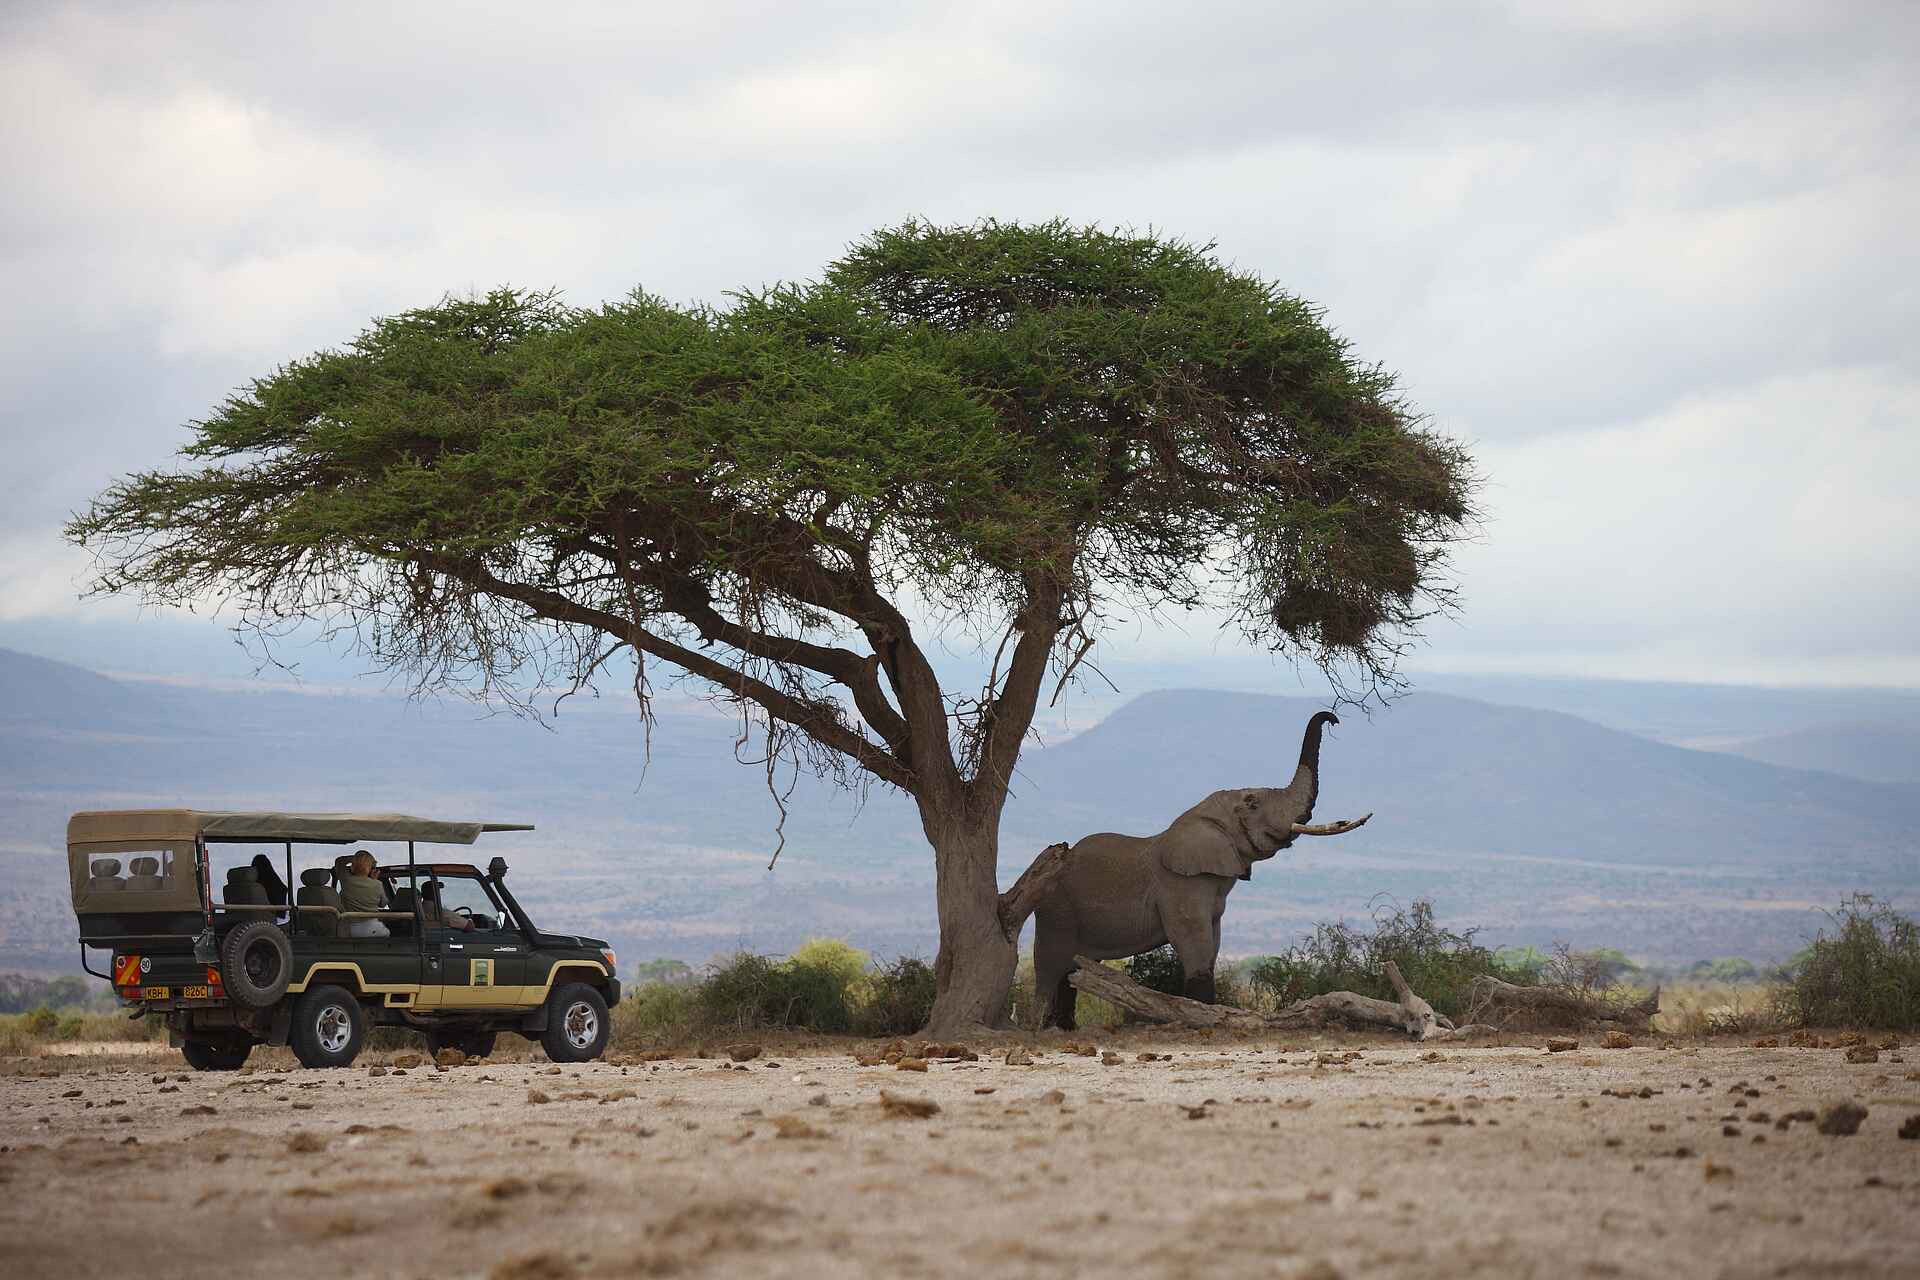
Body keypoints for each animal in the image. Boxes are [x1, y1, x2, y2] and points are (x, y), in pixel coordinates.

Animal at [1031, 710, 1368, 1030]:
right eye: (1252, 803)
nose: (1334, 720)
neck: (1201, 815)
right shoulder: (1180, 886)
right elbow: (1195, 943)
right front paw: (1205, 1015)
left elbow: (1213, 943)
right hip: (1056, 908)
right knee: (1050, 966)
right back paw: (1042, 1025)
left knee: (1071, 971)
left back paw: (1065, 1026)